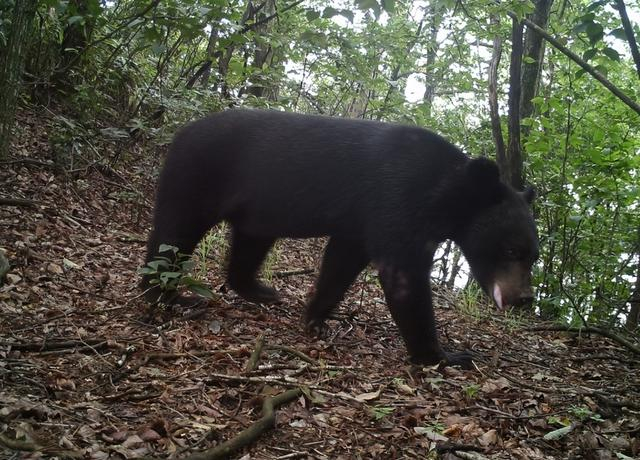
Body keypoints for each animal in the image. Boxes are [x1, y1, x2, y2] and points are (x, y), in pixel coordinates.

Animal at [142, 109, 538, 369]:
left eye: (533, 255)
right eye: (511, 249)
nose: (524, 298)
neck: (443, 193)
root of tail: (181, 131)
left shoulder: (359, 222)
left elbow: (341, 262)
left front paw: (315, 317)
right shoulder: (394, 198)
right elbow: (403, 277)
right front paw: (445, 355)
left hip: (255, 209)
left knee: (248, 244)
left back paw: (262, 291)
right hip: (198, 176)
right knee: (173, 234)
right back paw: (165, 296)